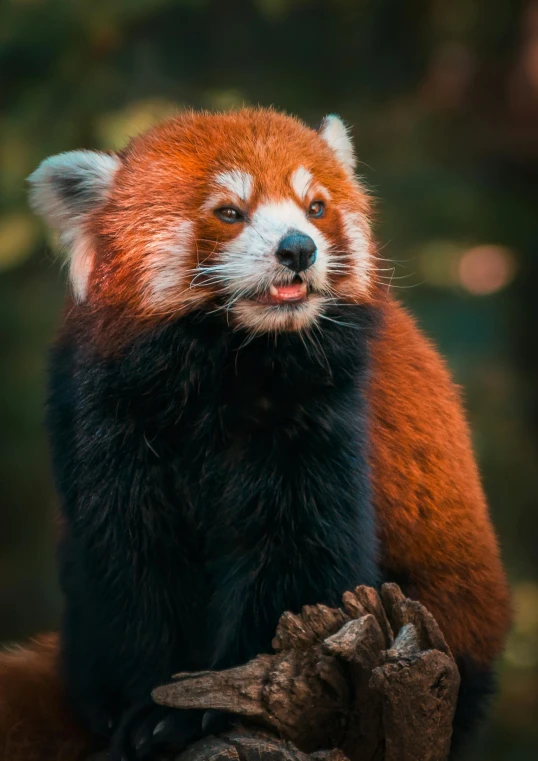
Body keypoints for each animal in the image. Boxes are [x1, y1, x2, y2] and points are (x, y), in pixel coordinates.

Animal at [0, 108, 508, 760]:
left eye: (315, 207)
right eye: (229, 212)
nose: (298, 248)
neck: (227, 357)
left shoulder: (327, 410)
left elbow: (297, 557)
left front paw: (201, 708)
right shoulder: (107, 414)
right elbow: (133, 564)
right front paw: (144, 705)